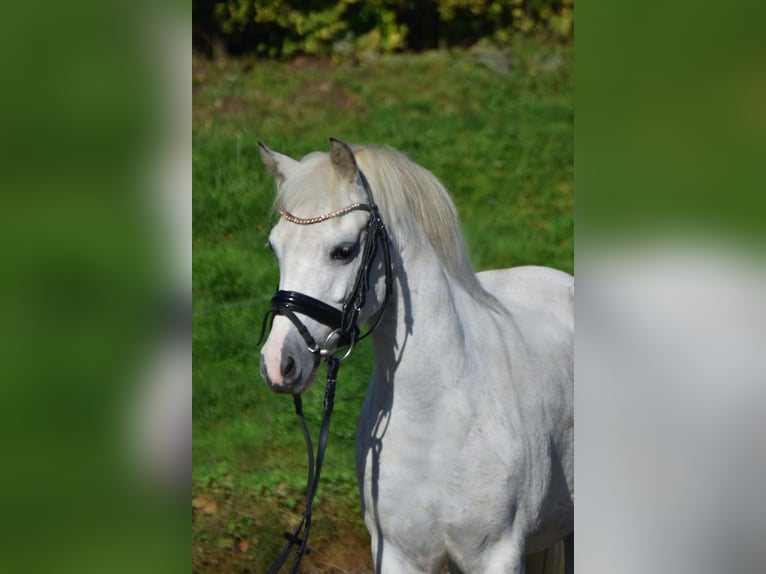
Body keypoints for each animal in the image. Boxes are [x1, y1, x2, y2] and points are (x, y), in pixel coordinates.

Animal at [260, 141, 572, 574]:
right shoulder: (397, 553)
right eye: (275, 247)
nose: (278, 362)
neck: (436, 412)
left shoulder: (497, 555)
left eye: (343, 251)